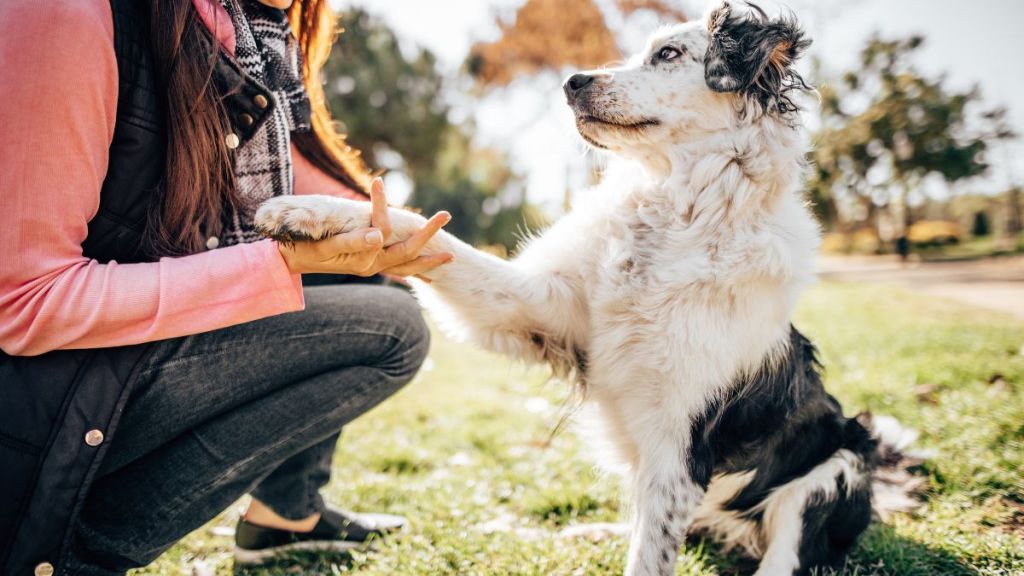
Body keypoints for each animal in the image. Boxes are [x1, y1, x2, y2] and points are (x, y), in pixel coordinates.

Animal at [251, 2, 917, 569]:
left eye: (669, 54)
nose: (571, 81)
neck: (675, 210)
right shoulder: (540, 310)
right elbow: (429, 233)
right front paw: (310, 212)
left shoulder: (679, 448)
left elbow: (650, 558)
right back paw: (587, 529)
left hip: (834, 471)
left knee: (783, 552)